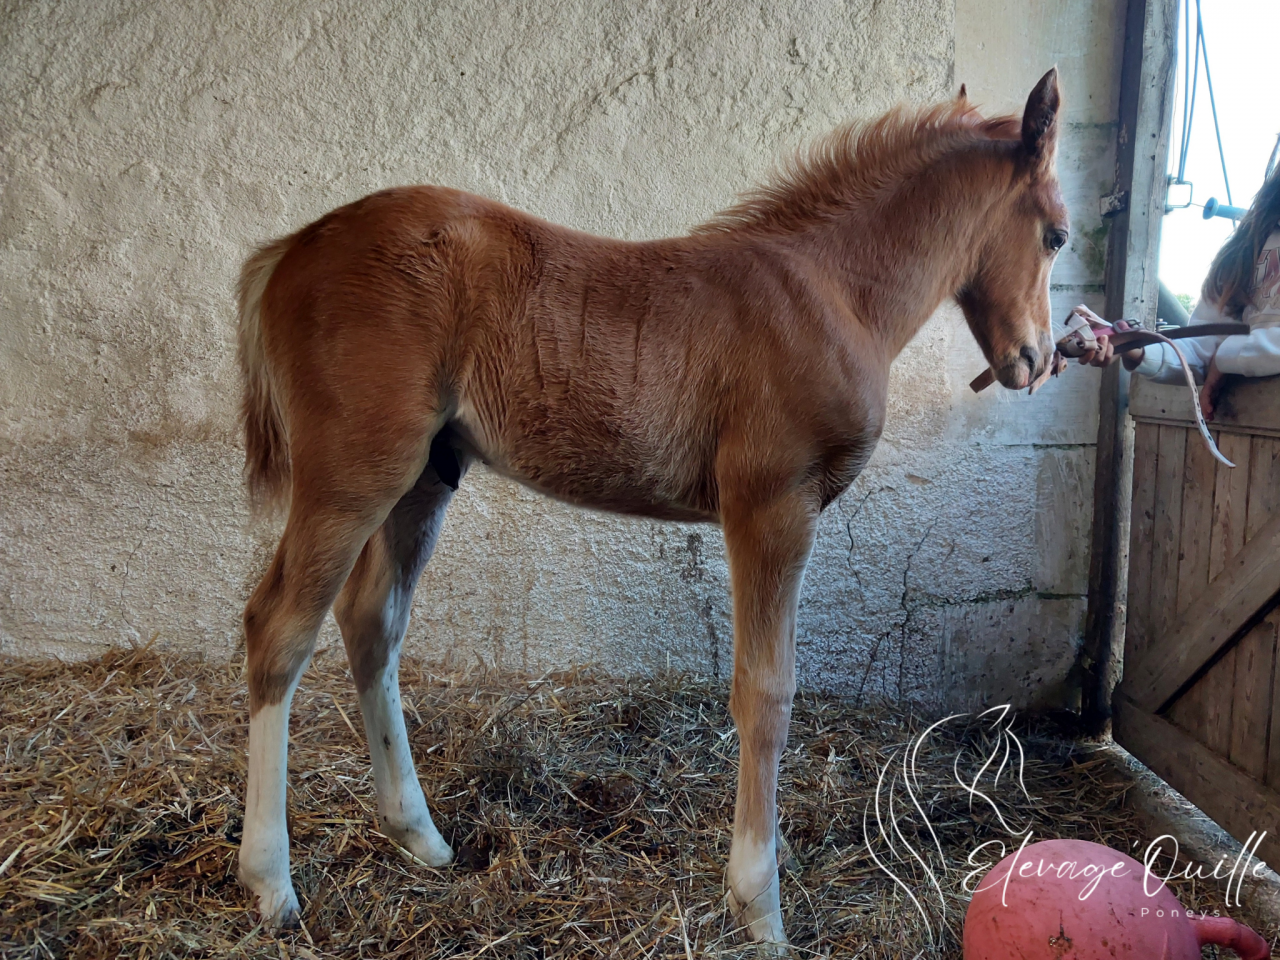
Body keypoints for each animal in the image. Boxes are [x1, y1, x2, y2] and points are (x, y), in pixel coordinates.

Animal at [234, 68, 1067, 949]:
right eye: (1056, 236)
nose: (1036, 358)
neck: (833, 291)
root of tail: (292, 247)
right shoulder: (772, 506)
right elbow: (765, 692)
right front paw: (759, 905)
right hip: (353, 474)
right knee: (279, 628)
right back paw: (271, 882)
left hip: (426, 476)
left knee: (371, 621)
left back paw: (418, 834)